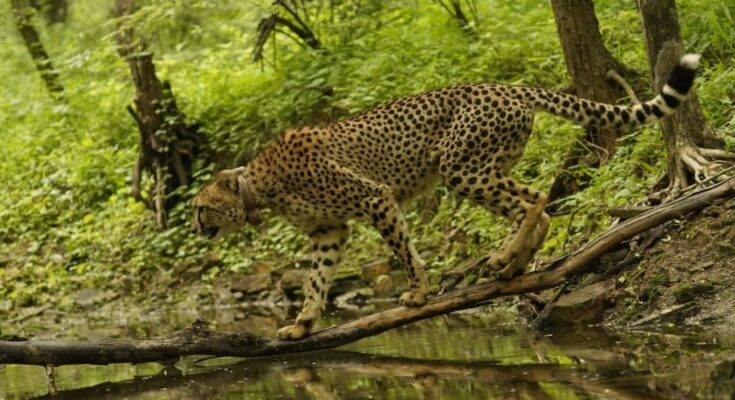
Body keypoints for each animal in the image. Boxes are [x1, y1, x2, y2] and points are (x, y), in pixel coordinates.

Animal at [191, 54, 700, 340]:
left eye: (200, 207)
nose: (196, 226)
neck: (259, 186)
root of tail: (505, 86)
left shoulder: (375, 197)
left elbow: (403, 249)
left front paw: (417, 294)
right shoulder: (329, 231)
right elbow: (316, 280)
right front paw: (303, 323)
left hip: (461, 168)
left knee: (534, 197)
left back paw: (503, 258)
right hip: (484, 164)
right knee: (536, 206)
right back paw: (513, 264)